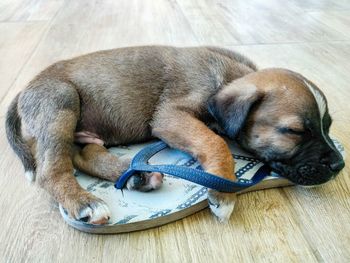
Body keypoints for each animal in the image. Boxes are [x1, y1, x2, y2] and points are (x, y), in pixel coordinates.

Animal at [5, 46, 344, 224]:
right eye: (295, 131)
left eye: (327, 126)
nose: (339, 165)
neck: (228, 77)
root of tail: (25, 89)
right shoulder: (170, 116)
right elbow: (215, 141)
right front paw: (223, 192)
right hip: (61, 101)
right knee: (52, 169)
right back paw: (85, 202)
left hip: (80, 129)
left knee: (84, 154)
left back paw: (137, 176)